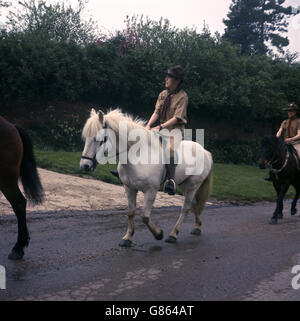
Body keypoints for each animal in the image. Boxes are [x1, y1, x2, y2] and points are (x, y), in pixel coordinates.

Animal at [79, 108, 213, 245]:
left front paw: (158, 234)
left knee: (185, 208)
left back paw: (173, 235)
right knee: (194, 204)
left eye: (99, 139)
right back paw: (197, 227)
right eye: (86, 138)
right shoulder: (129, 188)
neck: (138, 156)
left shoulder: (151, 191)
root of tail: (205, 152)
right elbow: (131, 212)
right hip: (184, 185)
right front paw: (127, 238)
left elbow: (144, 216)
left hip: (192, 185)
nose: (85, 165)